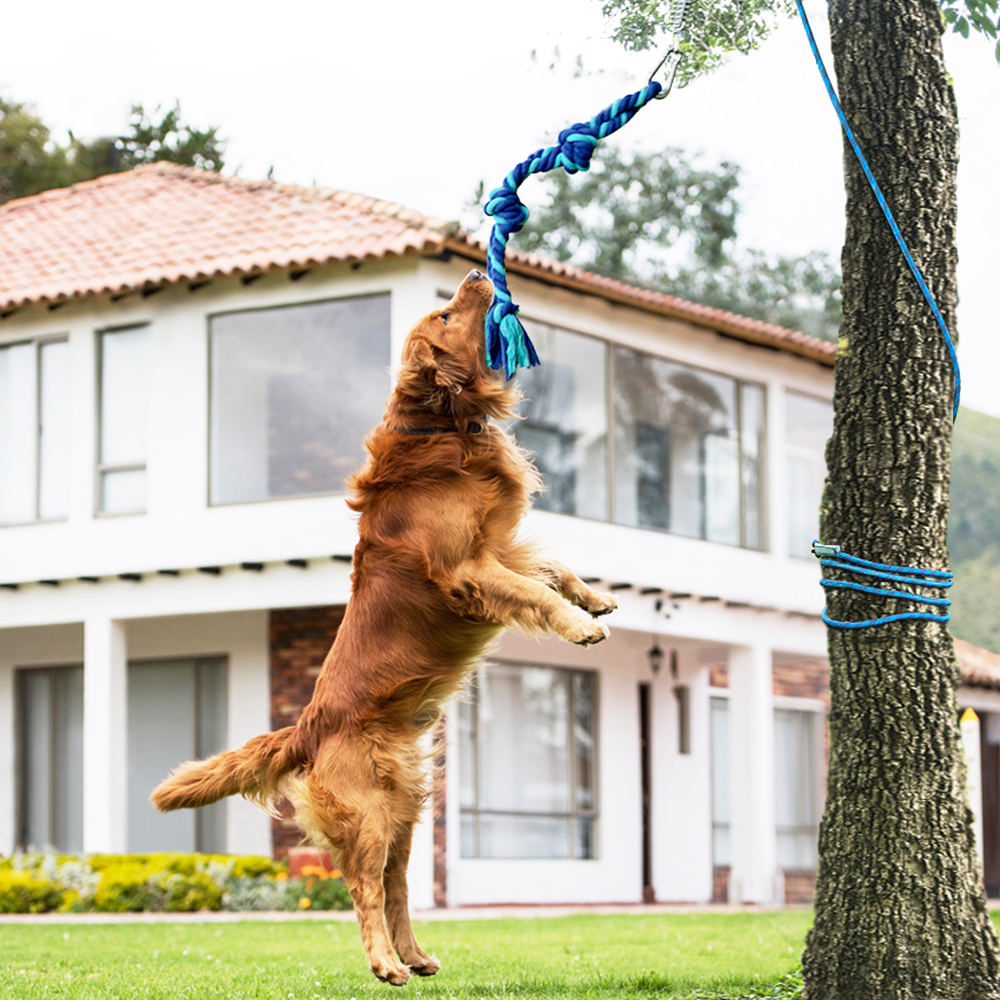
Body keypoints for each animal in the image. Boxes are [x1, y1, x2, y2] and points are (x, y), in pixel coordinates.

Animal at [151, 270, 612, 988]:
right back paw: (385, 963)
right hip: (367, 816)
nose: (476, 273)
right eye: (447, 315)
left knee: (396, 887)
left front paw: (594, 600)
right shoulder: (468, 569)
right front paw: (579, 628)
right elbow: (536, 589)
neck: (441, 427)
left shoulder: (499, 549)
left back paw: (415, 956)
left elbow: (553, 569)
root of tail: (307, 726)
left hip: (406, 812)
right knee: (363, 888)